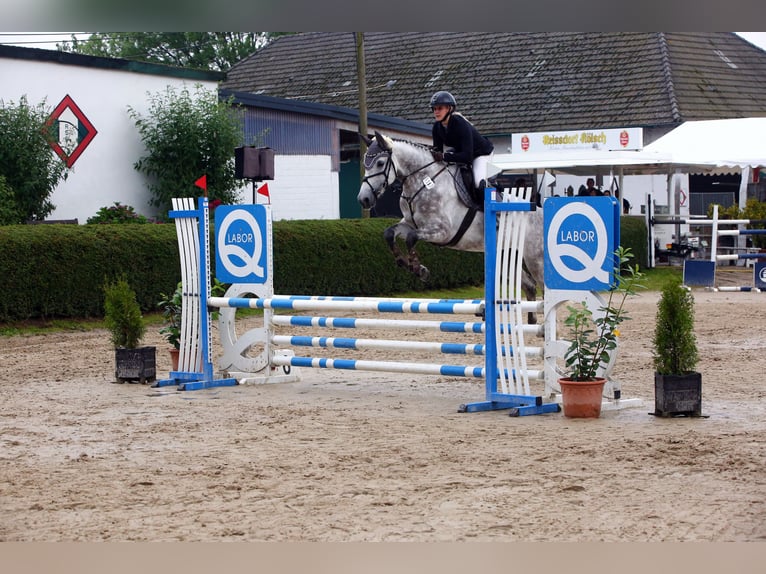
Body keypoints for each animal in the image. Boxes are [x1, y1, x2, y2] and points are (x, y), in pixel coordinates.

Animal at [360, 133, 544, 324]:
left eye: (380, 163)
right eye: (365, 164)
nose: (363, 199)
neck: (423, 182)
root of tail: (540, 210)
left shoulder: (443, 232)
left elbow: (411, 237)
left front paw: (420, 270)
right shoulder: (409, 224)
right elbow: (389, 233)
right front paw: (404, 263)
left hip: (535, 259)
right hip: (505, 255)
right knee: (530, 286)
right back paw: (533, 323)